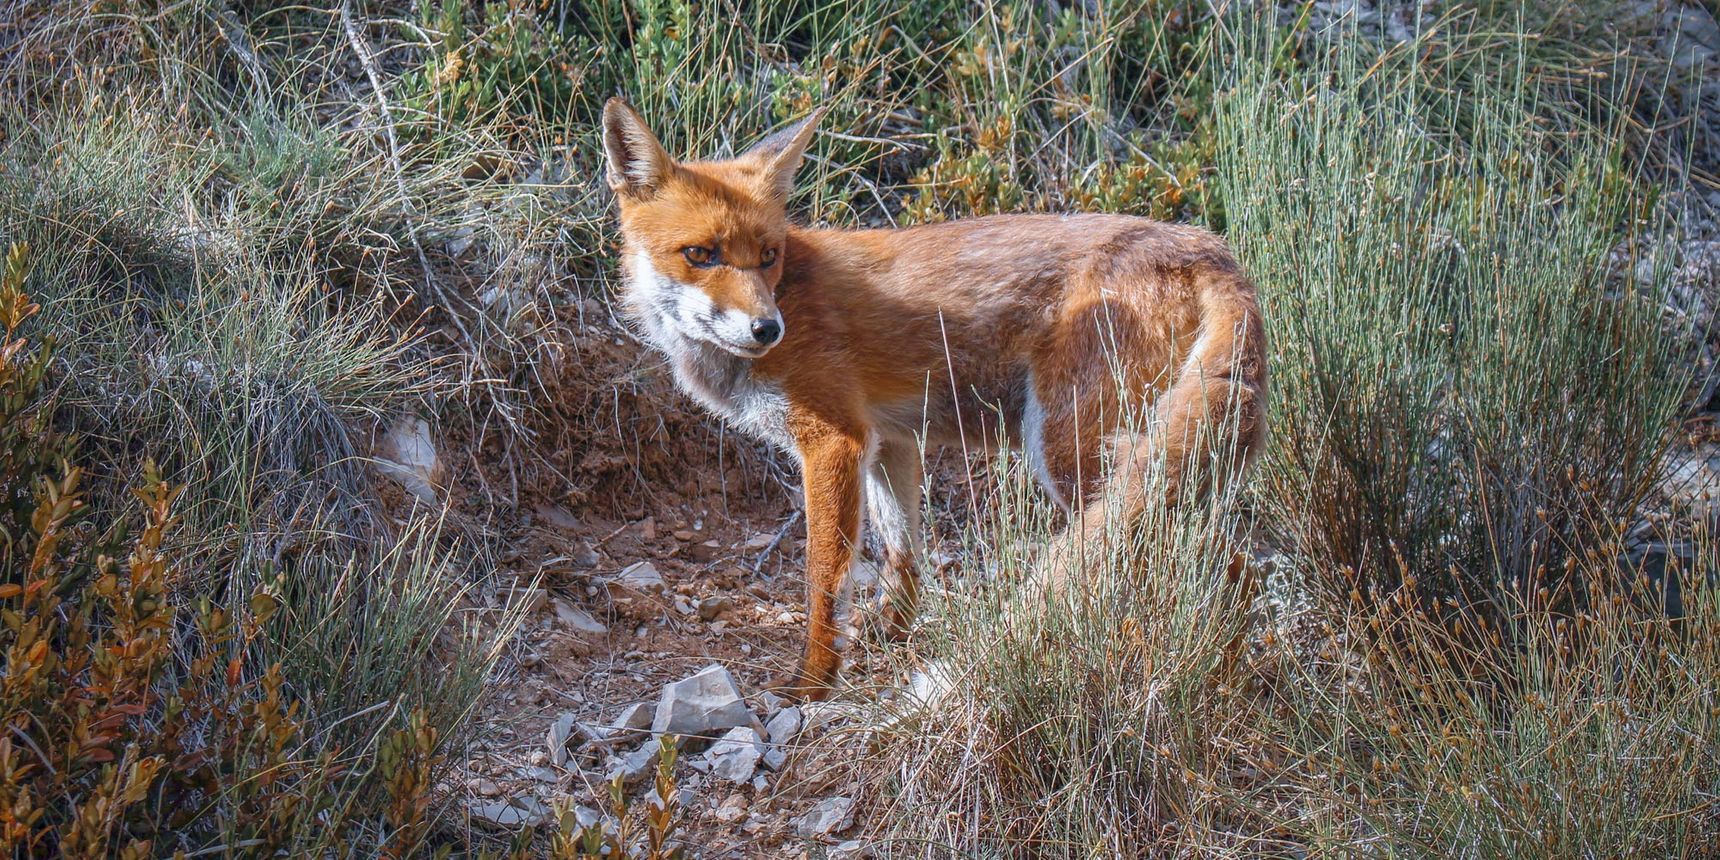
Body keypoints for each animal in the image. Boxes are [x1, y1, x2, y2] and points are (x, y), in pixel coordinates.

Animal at [600, 98, 1267, 701]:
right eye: (700, 254)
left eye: (768, 256)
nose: (768, 329)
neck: (791, 293)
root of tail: (1208, 248)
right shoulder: (888, 441)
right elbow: (903, 556)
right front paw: (890, 639)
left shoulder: (833, 441)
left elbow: (824, 581)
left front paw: (813, 683)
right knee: (1233, 567)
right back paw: (1226, 675)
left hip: (1076, 455)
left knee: (1211, 562)